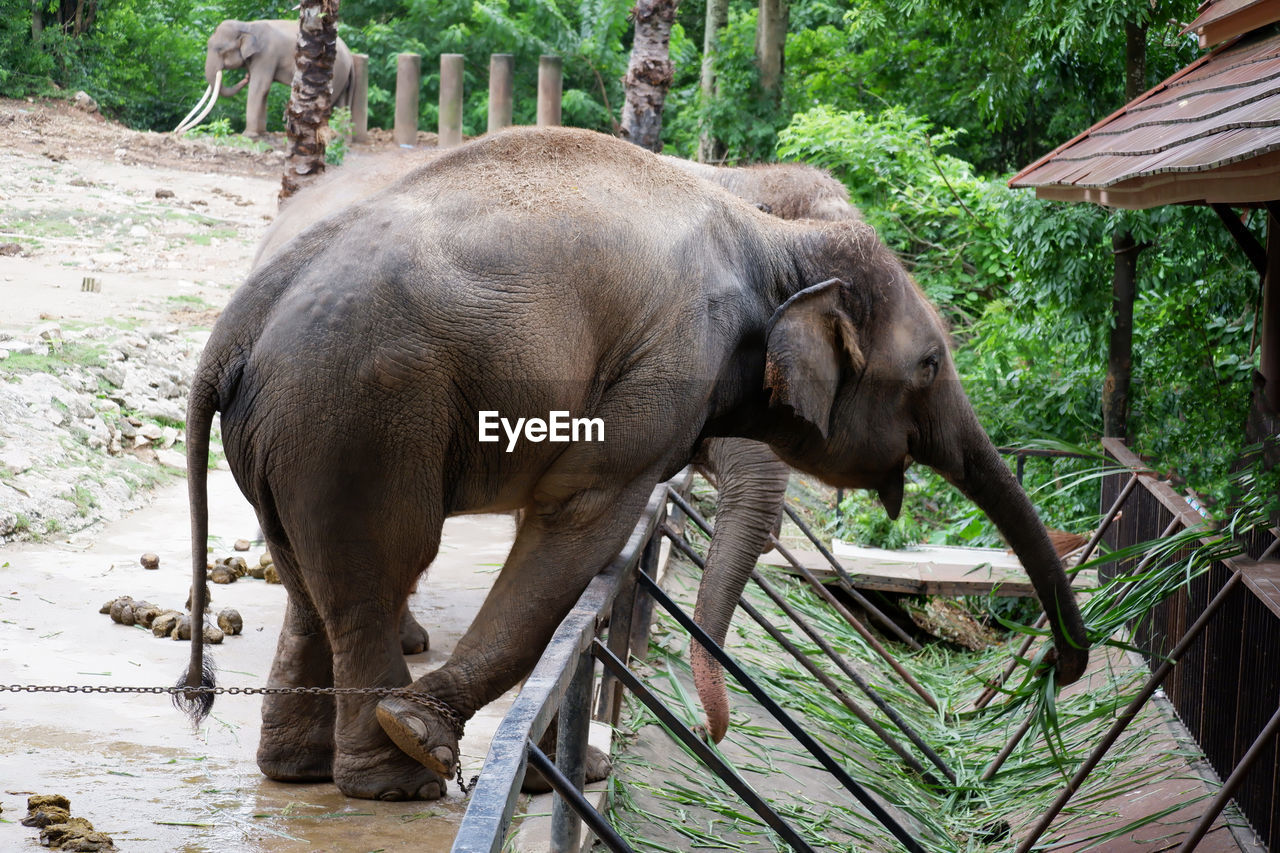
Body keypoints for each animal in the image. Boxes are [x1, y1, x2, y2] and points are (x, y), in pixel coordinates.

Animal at [172, 18, 355, 136]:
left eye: (220, 49)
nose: (176, 132)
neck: (247, 26)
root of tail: (351, 56)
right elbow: (263, 91)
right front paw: (261, 134)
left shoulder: (267, 54)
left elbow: (259, 87)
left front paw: (248, 136)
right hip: (341, 77)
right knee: (341, 107)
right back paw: (339, 139)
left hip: (332, 72)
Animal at [175, 124, 1085, 799]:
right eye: (930, 366)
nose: (1060, 671)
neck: (773, 232)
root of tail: (238, 321)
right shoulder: (672, 360)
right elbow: (582, 521)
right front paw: (427, 732)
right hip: (359, 418)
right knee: (380, 563)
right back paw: (399, 778)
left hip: (291, 435)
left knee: (312, 579)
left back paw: (301, 770)